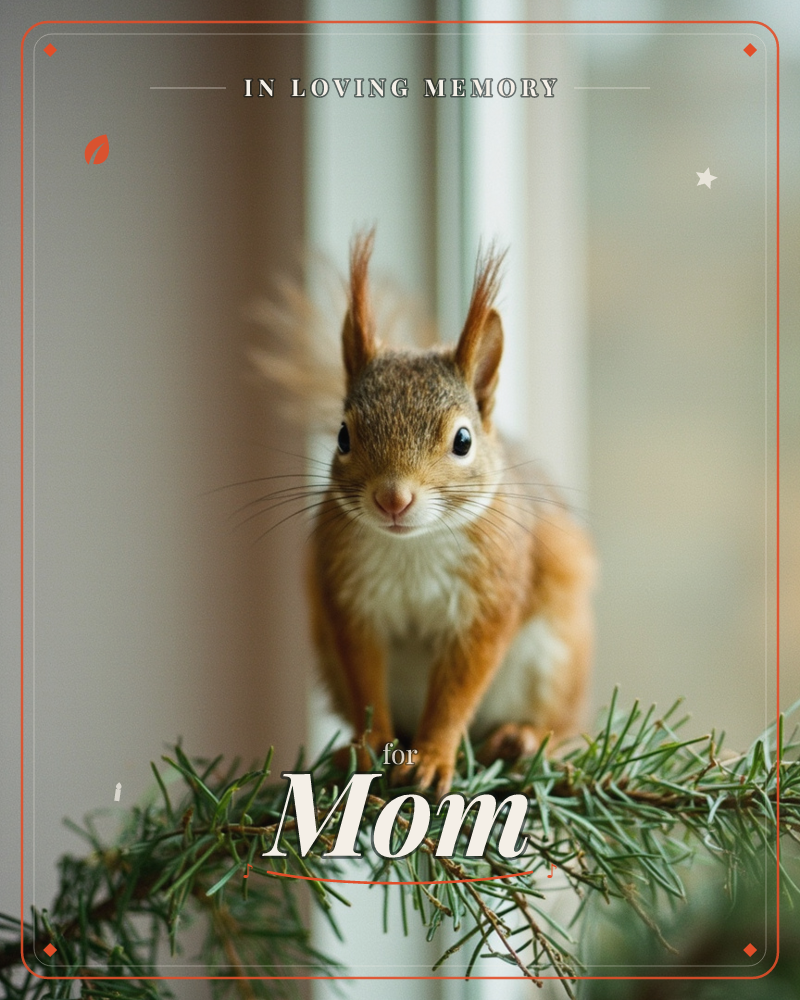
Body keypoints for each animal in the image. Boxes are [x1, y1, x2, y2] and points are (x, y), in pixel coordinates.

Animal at [256, 231, 596, 797]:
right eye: (343, 435)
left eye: (463, 440)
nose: (393, 499)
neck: (411, 545)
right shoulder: (348, 599)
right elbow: (365, 685)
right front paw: (369, 749)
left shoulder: (489, 598)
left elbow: (458, 690)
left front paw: (434, 759)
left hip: (558, 659)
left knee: (564, 728)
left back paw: (523, 739)